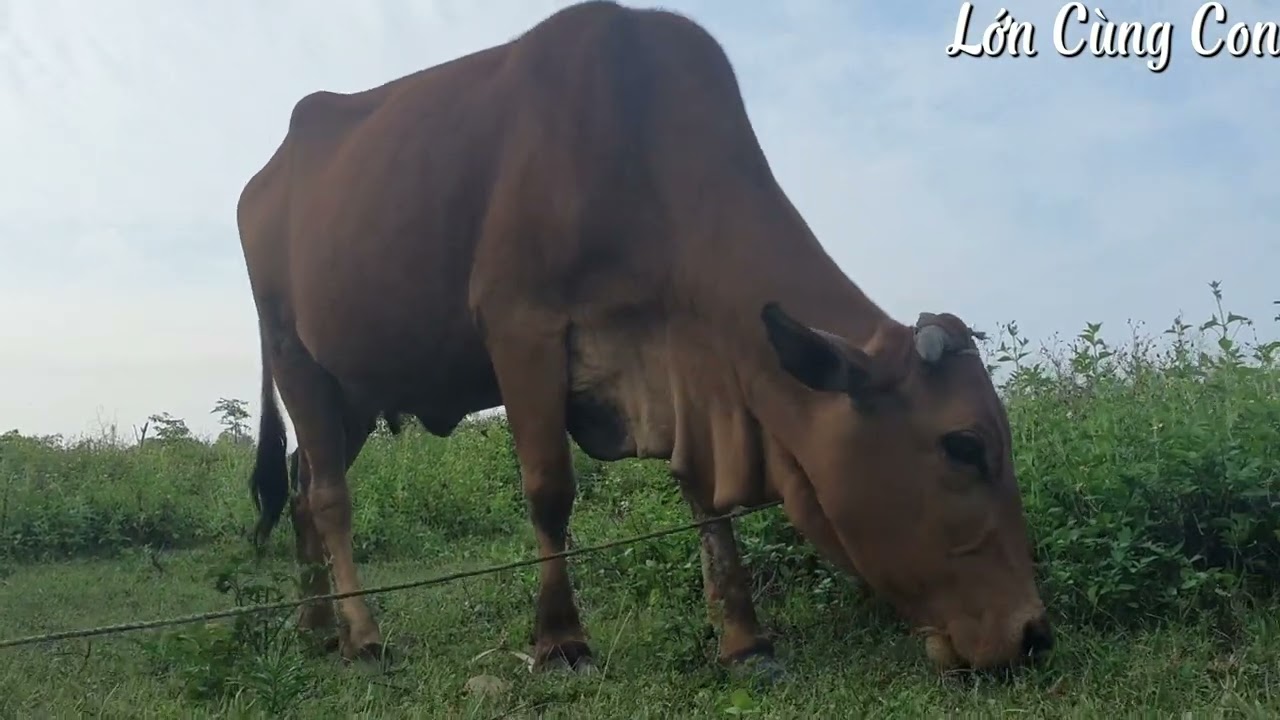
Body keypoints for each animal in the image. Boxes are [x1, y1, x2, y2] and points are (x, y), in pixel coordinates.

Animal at [237, 0, 1052, 677]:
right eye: (964, 446)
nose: (1033, 632)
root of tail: (266, 173)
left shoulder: (687, 368)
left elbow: (704, 496)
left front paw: (745, 638)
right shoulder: (521, 327)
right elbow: (549, 489)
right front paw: (560, 639)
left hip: (352, 390)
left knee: (304, 488)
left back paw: (316, 626)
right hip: (293, 354)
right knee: (331, 497)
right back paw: (362, 634)